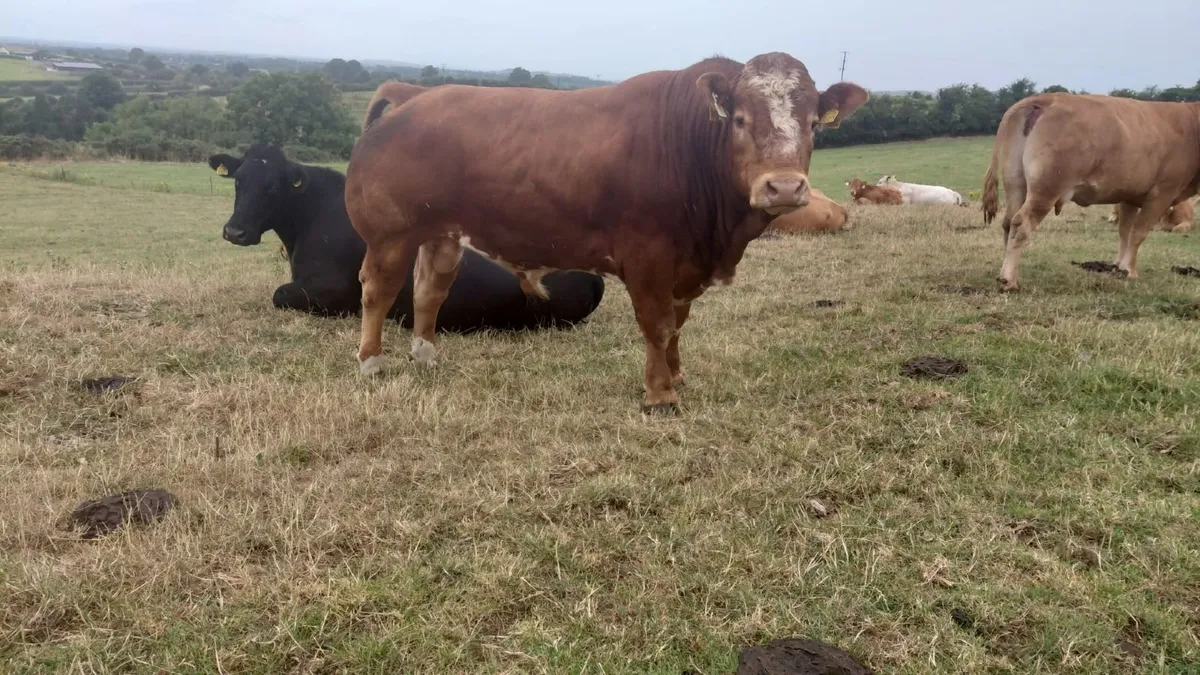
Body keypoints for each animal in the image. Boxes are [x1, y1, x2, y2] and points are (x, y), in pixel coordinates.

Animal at [345, 53, 868, 413]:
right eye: (740, 120)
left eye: (813, 124)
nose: (784, 186)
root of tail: (415, 93)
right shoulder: (648, 257)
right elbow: (658, 325)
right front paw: (660, 395)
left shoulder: (686, 267)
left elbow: (677, 325)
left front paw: (676, 376)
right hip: (390, 236)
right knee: (378, 290)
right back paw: (371, 362)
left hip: (442, 234)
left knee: (429, 291)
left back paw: (426, 355)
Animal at [982, 93, 1200, 290]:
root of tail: (1046, 98)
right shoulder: (1162, 193)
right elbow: (1139, 232)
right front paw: (1129, 271)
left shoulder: (1129, 196)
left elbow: (1125, 232)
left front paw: (1119, 267)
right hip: (1046, 190)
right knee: (1021, 224)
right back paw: (1008, 280)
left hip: (1016, 184)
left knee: (1008, 223)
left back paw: (1010, 273)